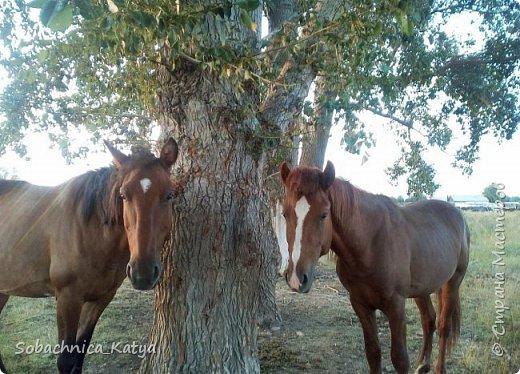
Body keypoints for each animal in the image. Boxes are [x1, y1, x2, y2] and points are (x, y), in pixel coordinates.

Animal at [0, 138, 179, 374]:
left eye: (169, 195)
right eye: (123, 195)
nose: (143, 273)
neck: (90, 229)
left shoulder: (100, 298)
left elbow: (80, 352)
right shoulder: (67, 298)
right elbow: (66, 359)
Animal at [280, 161, 472, 374]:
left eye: (323, 215)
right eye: (285, 214)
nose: (297, 278)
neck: (370, 244)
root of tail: (458, 213)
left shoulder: (396, 306)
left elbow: (399, 358)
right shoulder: (361, 304)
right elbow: (372, 352)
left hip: (453, 282)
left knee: (444, 326)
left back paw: (439, 368)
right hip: (423, 287)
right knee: (428, 320)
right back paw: (423, 364)